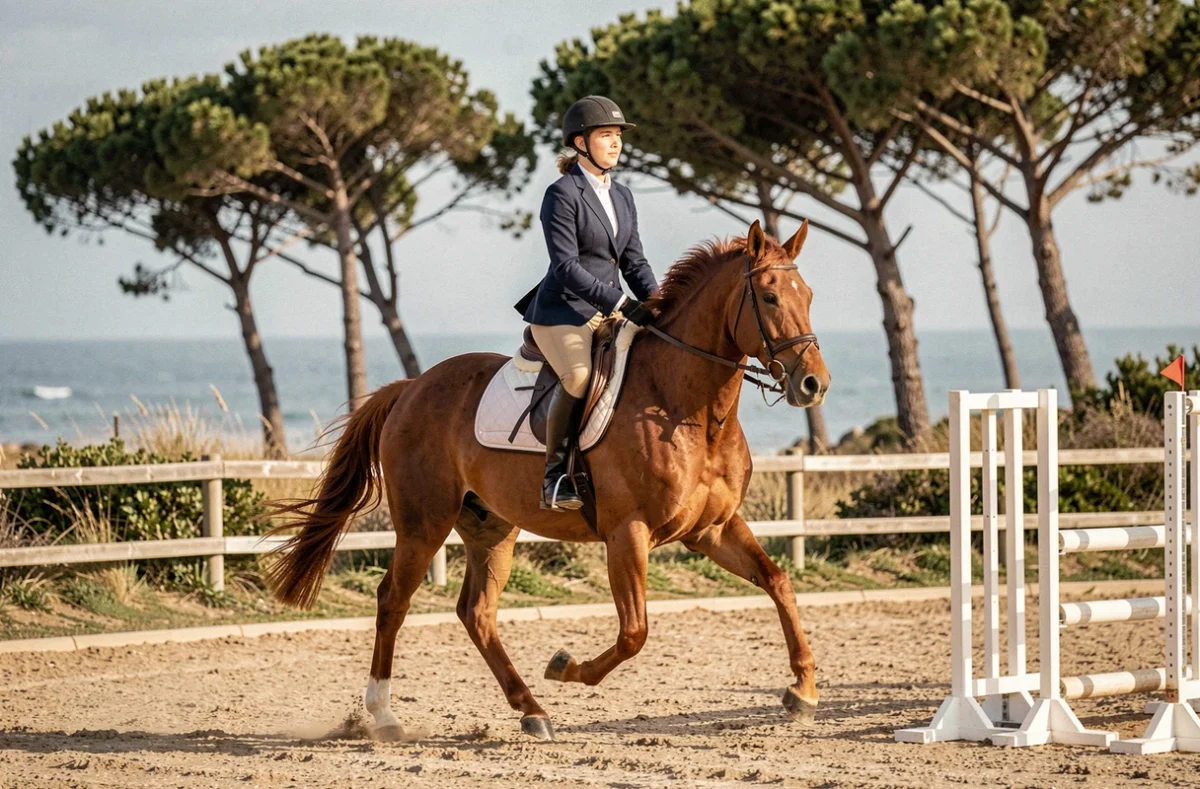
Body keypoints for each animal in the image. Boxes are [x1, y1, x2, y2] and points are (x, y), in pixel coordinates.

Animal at [266, 219, 831, 741]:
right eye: (768, 296)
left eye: (808, 295)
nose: (813, 384)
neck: (687, 407)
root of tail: (411, 387)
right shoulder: (628, 533)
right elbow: (634, 633)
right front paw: (565, 666)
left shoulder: (711, 530)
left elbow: (778, 582)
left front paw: (802, 691)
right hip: (424, 524)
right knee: (393, 601)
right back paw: (385, 717)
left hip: (491, 527)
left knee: (476, 613)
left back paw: (531, 711)